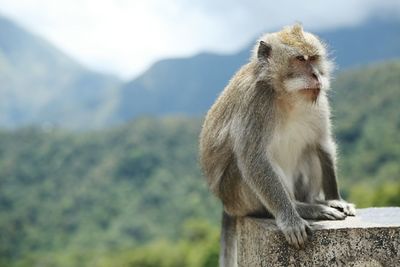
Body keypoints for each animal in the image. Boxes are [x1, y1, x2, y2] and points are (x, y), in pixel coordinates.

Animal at [198, 24, 354, 266]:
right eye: (300, 59)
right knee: (244, 168)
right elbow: (254, 160)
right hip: (237, 196)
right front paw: (290, 220)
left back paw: (313, 201)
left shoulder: (319, 102)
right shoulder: (254, 101)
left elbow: (322, 144)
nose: (316, 75)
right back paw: (302, 209)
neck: (287, 96)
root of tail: (226, 205)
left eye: (314, 59)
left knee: (309, 151)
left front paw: (336, 199)